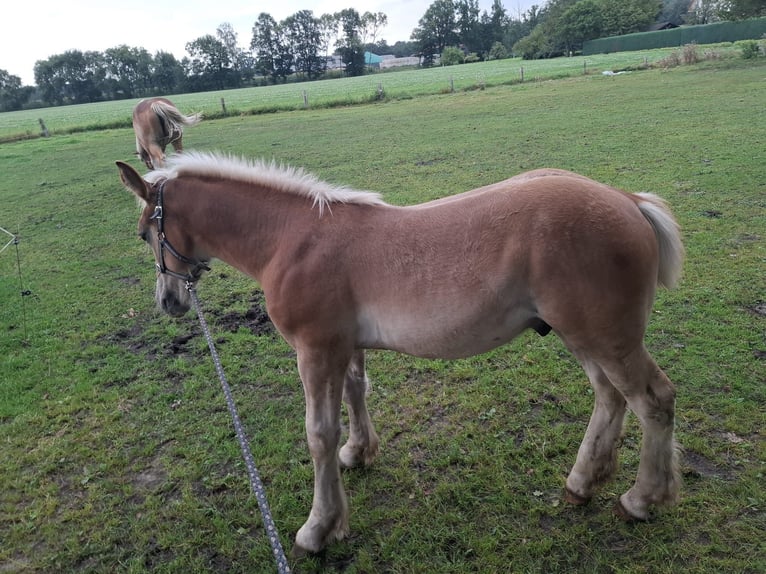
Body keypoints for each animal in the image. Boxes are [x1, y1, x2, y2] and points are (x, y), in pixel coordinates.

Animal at [117, 153, 688, 560]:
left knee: (653, 399)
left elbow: (318, 435)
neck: (290, 241)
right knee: (610, 396)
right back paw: (582, 482)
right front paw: (359, 453)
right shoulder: (344, 348)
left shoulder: (315, 351)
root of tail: (627, 200)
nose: (169, 301)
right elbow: (356, 395)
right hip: (583, 338)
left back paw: (641, 499)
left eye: (145, 232)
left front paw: (319, 528)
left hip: (606, 338)